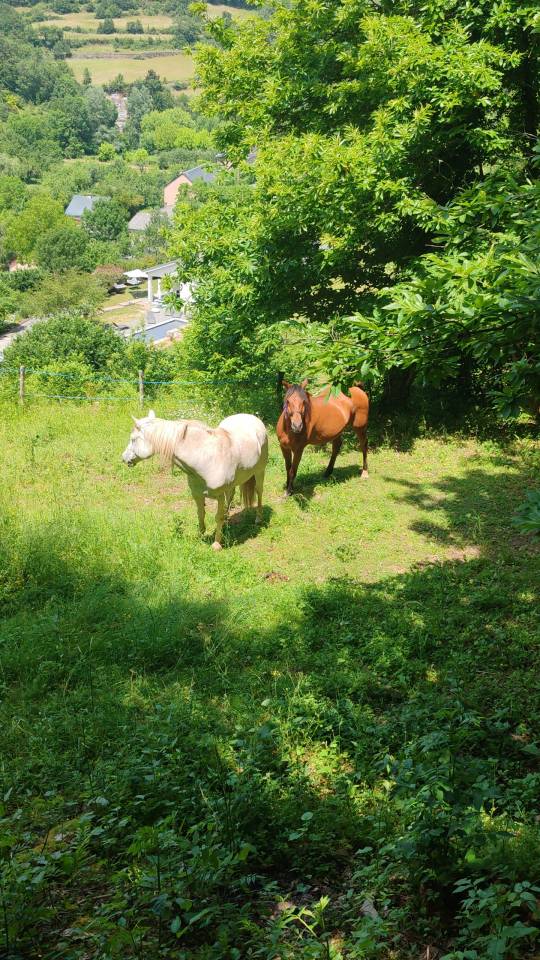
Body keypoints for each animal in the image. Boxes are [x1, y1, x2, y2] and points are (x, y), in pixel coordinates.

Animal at [122, 410, 268, 550]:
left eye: (133, 439)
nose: (123, 458)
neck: (205, 458)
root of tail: (252, 417)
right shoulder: (197, 494)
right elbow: (200, 513)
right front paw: (200, 535)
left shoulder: (219, 495)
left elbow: (217, 517)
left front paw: (217, 544)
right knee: (231, 495)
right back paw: (228, 517)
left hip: (260, 472)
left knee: (259, 492)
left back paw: (258, 518)